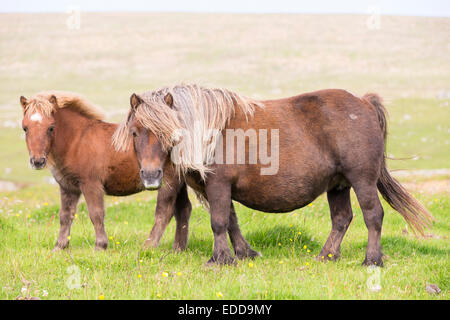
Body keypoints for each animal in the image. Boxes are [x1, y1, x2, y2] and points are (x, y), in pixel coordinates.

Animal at [20, 91, 192, 251]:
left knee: (164, 212)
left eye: (51, 127)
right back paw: (178, 249)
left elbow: (96, 214)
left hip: (167, 182)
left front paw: (100, 246)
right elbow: (65, 215)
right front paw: (60, 247)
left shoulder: (91, 185)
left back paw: (148, 247)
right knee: (183, 210)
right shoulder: (68, 187)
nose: (37, 161)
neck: (76, 141)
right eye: (25, 128)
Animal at [114, 84, 434, 266]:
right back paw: (326, 256)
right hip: (338, 185)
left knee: (373, 216)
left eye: (168, 132)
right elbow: (231, 221)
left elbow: (219, 222)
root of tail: (365, 103)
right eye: (135, 132)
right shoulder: (219, 188)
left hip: (362, 180)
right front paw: (245, 254)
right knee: (342, 219)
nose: (151, 176)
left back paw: (372, 260)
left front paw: (218, 260)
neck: (210, 130)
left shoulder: (218, 185)